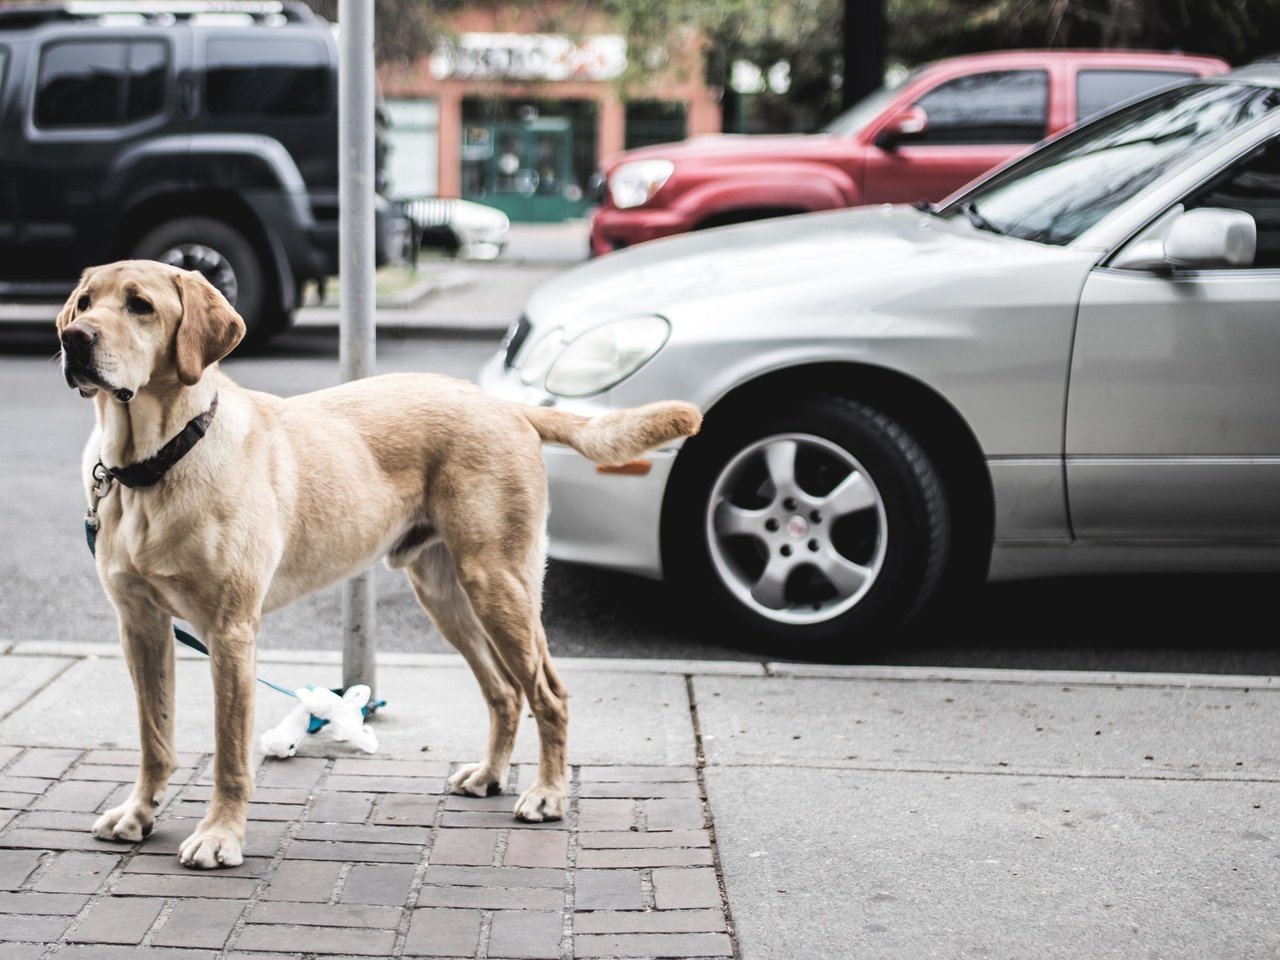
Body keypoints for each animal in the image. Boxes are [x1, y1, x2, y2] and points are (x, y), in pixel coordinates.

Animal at [57, 261, 701, 870]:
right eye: (85, 303)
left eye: (140, 306)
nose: (72, 338)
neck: (152, 466)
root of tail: (502, 403)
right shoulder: (141, 626)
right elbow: (154, 736)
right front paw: (139, 813)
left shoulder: (231, 632)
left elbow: (230, 753)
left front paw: (219, 837)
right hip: (446, 594)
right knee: (503, 692)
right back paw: (490, 776)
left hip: (499, 584)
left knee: (548, 692)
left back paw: (547, 793)